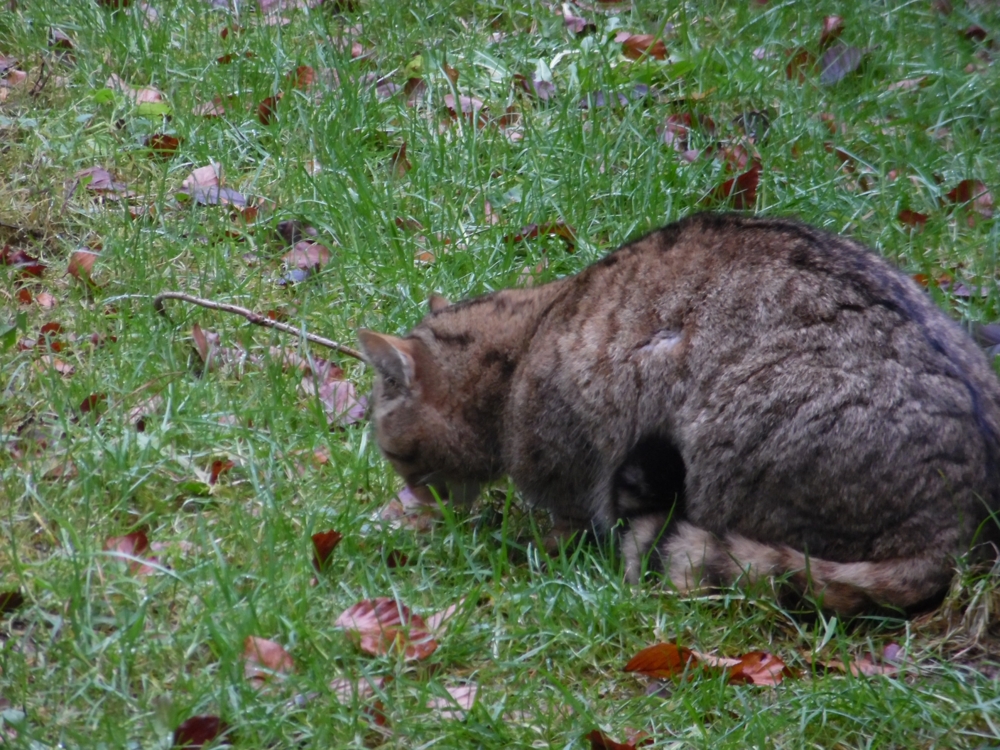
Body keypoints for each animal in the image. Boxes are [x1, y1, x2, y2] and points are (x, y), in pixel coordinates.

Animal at [360, 213, 1000, 616]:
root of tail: (958, 524)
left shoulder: (571, 463)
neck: (528, 335)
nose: (415, 495)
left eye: (392, 453)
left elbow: (562, 521)